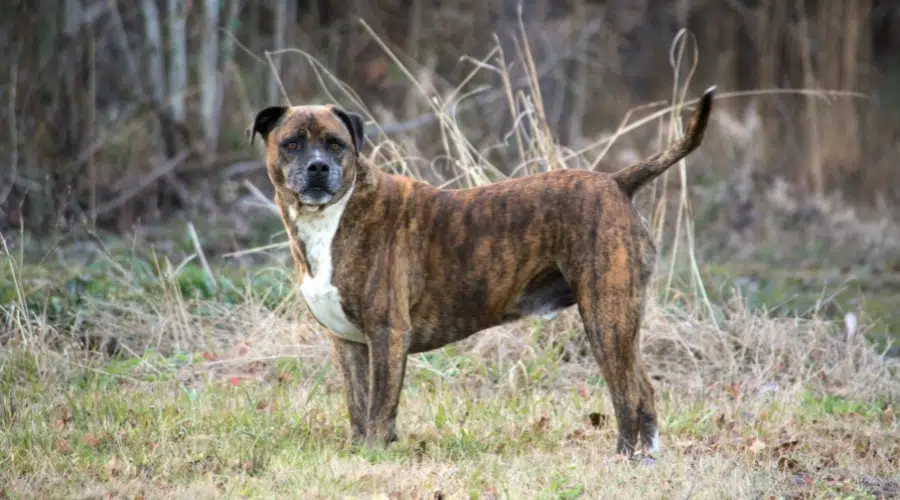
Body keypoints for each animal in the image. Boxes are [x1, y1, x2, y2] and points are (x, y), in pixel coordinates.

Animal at [248, 88, 716, 456]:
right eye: (292, 144)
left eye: (335, 144)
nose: (318, 167)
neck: (332, 216)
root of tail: (618, 181)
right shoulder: (347, 343)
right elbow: (358, 407)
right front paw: (358, 450)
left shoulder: (387, 334)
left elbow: (380, 408)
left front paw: (373, 456)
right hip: (617, 321)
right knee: (641, 390)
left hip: (606, 317)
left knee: (629, 392)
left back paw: (625, 457)